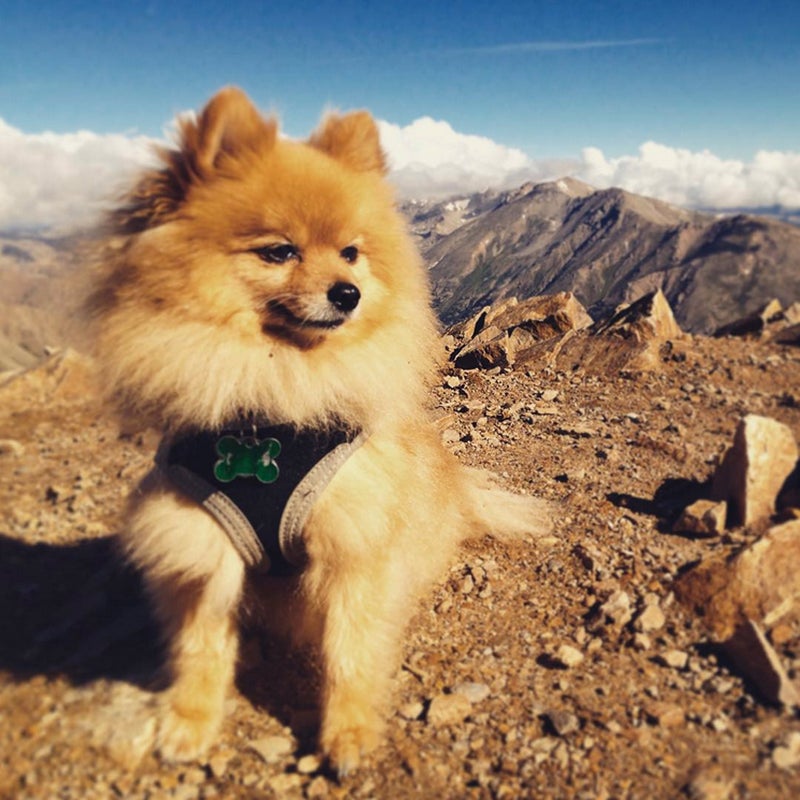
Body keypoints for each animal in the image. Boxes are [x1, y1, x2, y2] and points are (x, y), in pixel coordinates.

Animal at [87, 87, 552, 776]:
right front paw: (190, 723)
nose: (348, 292)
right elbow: (200, 646)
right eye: (281, 251)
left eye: (351, 252)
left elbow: (350, 651)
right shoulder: (197, 544)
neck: (272, 402)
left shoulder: (354, 544)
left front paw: (349, 735)